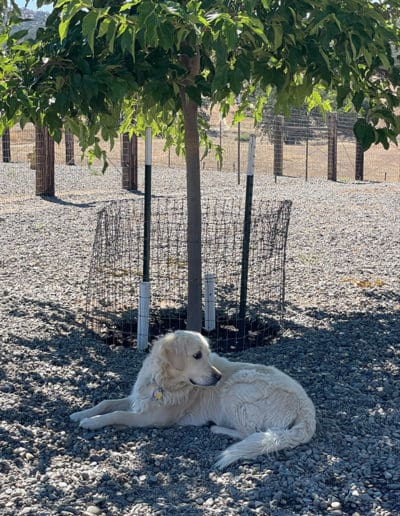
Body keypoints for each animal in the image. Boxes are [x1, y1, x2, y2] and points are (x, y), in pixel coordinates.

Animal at [71, 330, 316, 468]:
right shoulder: (138, 399)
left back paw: (217, 428)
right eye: (197, 355)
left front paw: (91, 422)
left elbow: (117, 413)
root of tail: (308, 411)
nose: (218, 377)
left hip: (237, 389)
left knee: (250, 433)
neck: (162, 382)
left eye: (207, 355)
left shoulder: (152, 418)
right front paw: (80, 413)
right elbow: (107, 403)